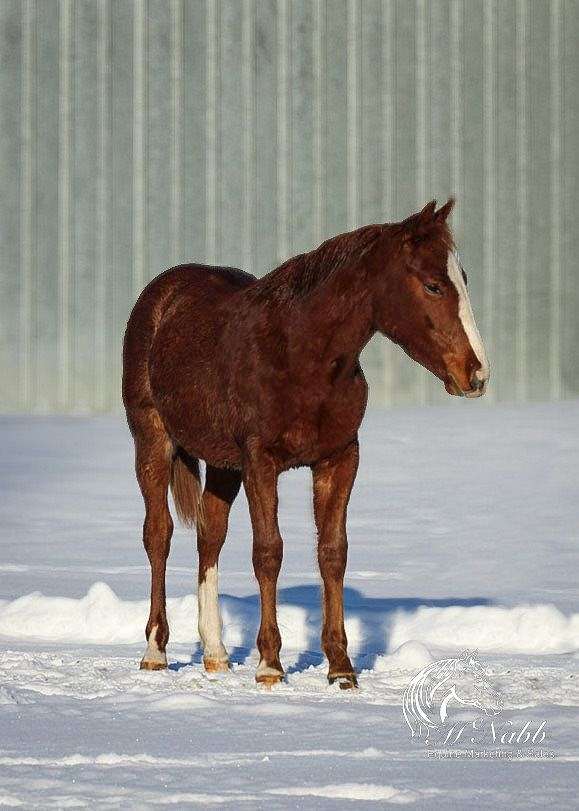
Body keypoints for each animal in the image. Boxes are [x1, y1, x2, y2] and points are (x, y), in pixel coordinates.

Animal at [122, 200, 490, 688]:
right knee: (158, 534)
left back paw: (216, 653)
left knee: (209, 533)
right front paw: (270, 665)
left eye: (462, 277)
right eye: (432, 284)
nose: (477, 374)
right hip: (152, 439)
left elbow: (332, 552)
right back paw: (155, 651)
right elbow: (268, 552)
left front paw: (341, 668)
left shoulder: (339, 458)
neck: (299, 354)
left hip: (222, 465)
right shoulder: (260, 461)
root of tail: (162, 293)